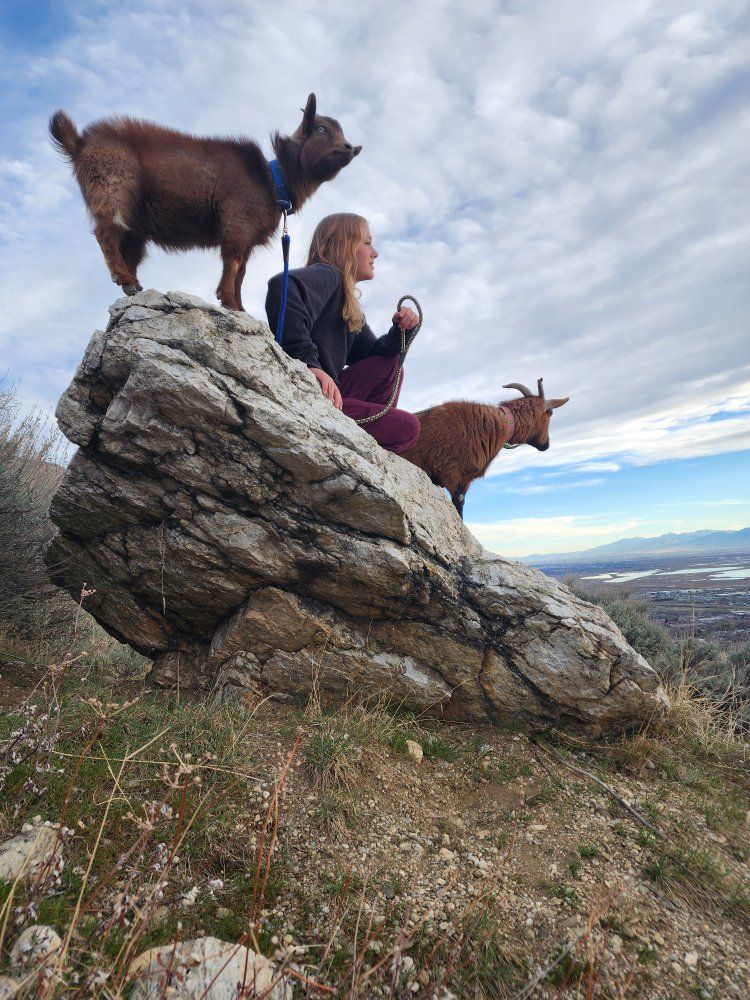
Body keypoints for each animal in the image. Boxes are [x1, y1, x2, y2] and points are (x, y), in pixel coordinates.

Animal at [49, 94, 361, 311]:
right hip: (113, 189)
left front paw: (239, 306)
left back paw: (133, 284)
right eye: (320, 129)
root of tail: (79, 144)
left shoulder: (247, 238)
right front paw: (229, 302)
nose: (352, 148)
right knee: (105, 232)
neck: (272, 179)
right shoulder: (237, 224)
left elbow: (242, 272)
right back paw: (123, 277)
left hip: (134, 225)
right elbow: (232, 264)